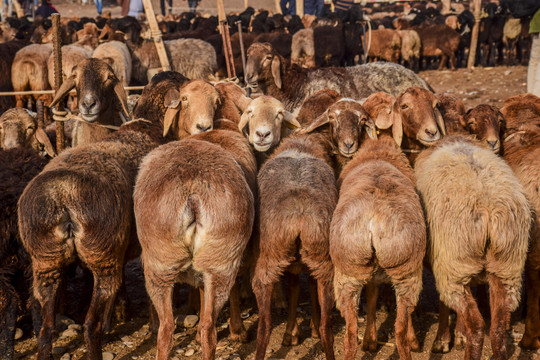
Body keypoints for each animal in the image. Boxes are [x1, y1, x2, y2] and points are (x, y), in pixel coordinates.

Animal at [17, 116, 165, 360]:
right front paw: (152, 326)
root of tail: (65, 196)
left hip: (47, 260)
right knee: (90, 324)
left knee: (46, 329)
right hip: (103, 256)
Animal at [330, 135, 426, 360]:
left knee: (350, 335)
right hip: (407, 272)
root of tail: (374, 220)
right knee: (400, 329)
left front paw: (370, 341)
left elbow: (372, 297)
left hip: (349, 272)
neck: (377, 152)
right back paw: (409, 342)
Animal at [416, 136, 528, 360]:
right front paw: (459, 336)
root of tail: (488, 208)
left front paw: (443, 340)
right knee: (498, 327)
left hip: (455, 264)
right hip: (506, 266)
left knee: (476, 325)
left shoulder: (442, 263)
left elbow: (444, 305)